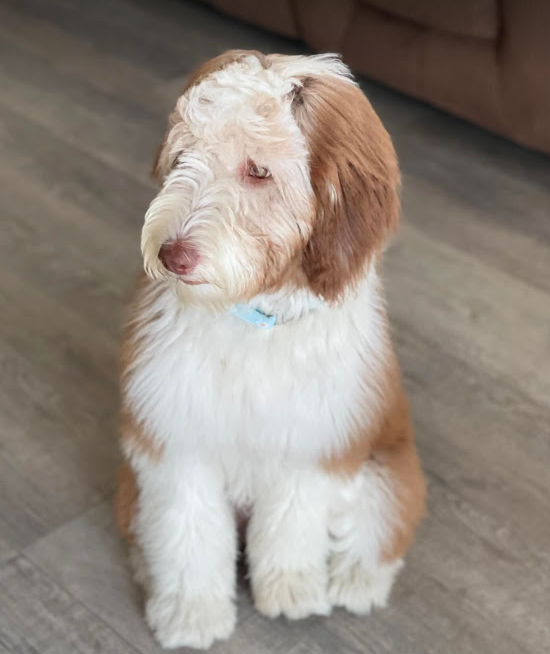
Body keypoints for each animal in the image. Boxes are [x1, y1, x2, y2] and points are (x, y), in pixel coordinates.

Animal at [115, 51, 426, 652]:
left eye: (258, 171)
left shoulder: (315, 441)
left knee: (377, 531)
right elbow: (189, 529)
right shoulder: (176, 434)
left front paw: (289, 591)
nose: (171, 255)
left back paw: (355, 582)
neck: (253, 320)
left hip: (390, 471)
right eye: (183, 157)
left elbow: (291, 523)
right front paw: (192, 613)